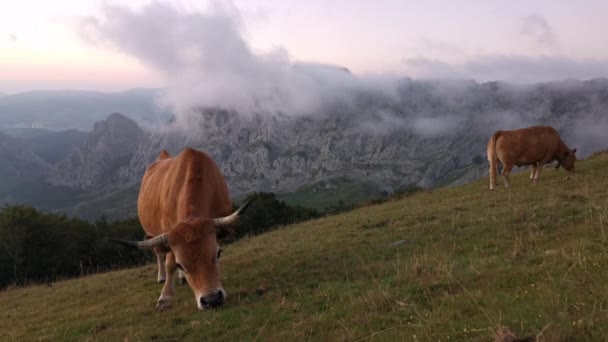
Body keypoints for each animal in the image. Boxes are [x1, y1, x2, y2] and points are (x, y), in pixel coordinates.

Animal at [110, 147, 255, 310]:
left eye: (218, 253)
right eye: (181, 264)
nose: (211, 299)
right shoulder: (168, 234)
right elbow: (170, 263)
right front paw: (165, 296)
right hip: (152, 234)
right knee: (158, 252)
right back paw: (162, 277)